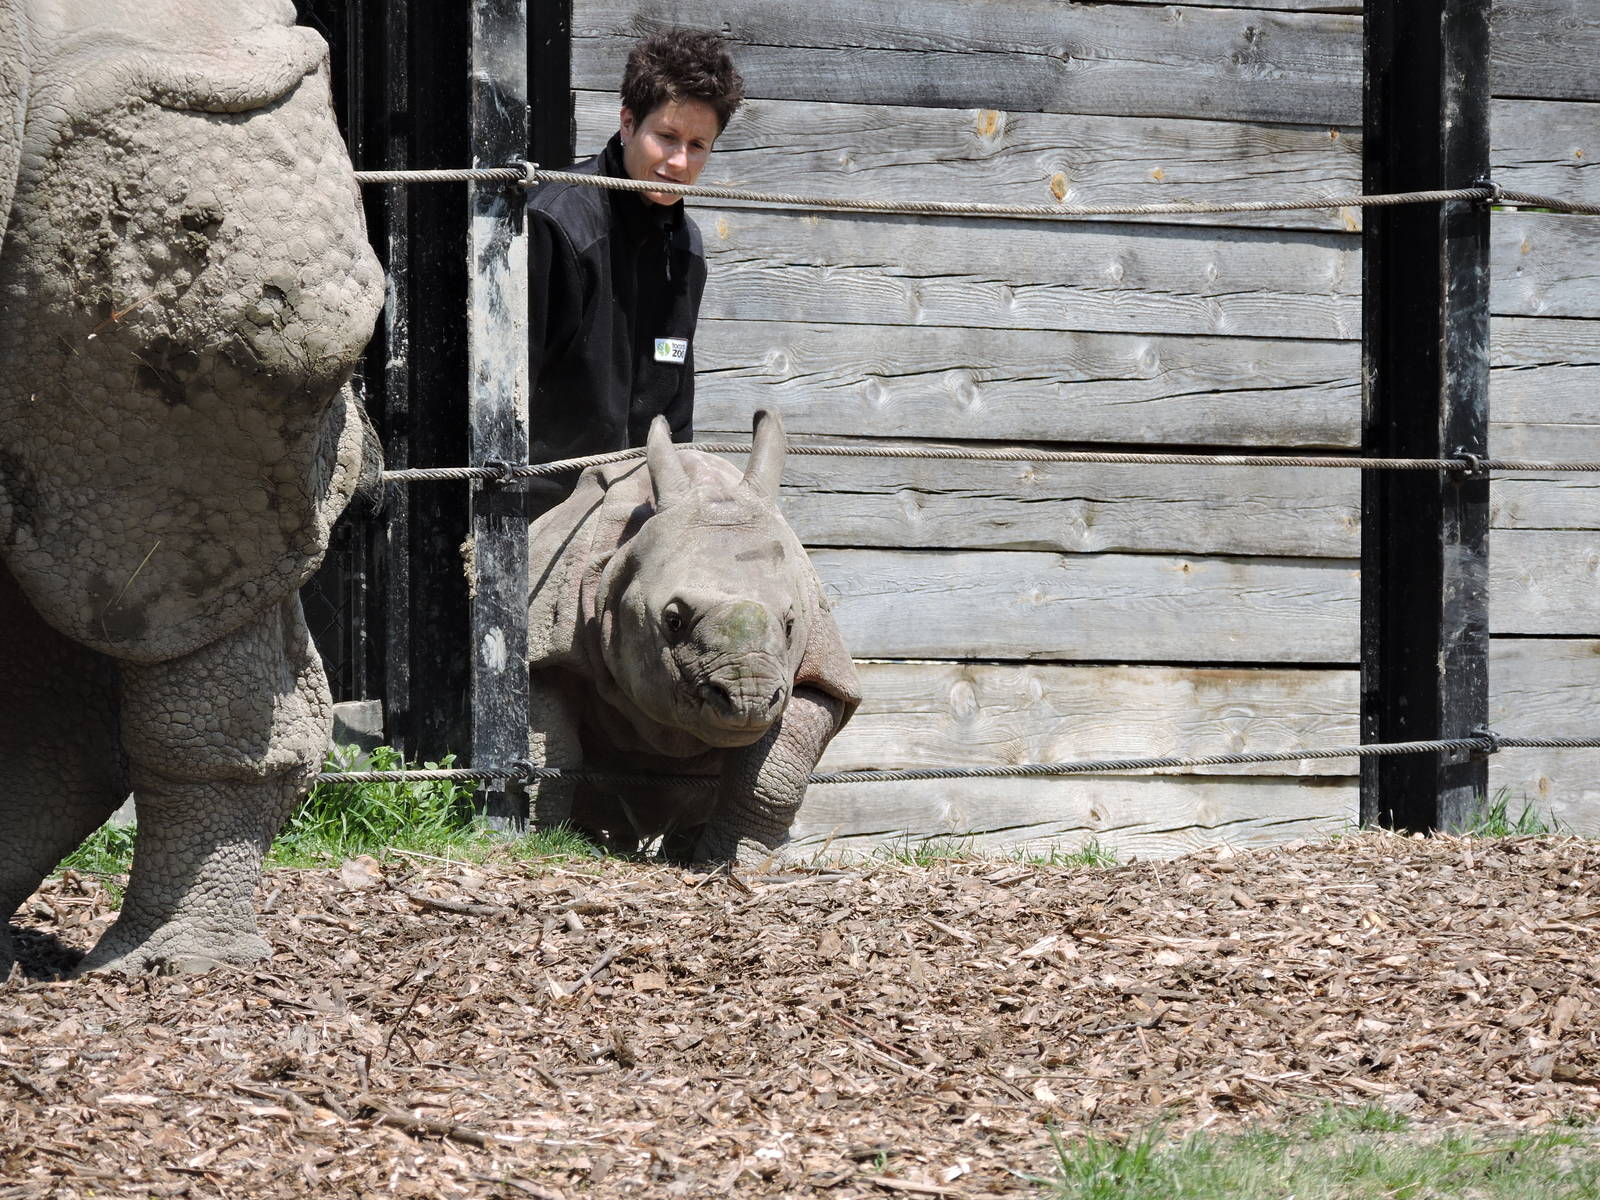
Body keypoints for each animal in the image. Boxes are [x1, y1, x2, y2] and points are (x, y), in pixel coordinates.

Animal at [525, 411, 860, 865]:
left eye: (791, 625)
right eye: (673, 621)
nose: (748, 700)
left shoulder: (822, 674)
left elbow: (771, 780)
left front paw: (736, 865)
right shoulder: (546, 649)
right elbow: (551, 754)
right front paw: (538, 839)